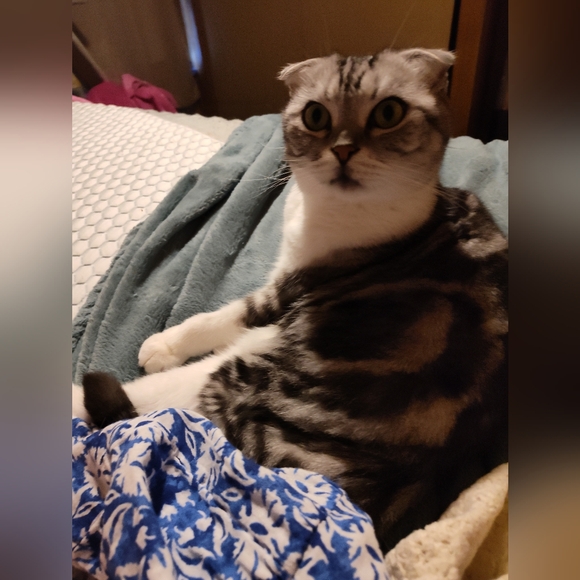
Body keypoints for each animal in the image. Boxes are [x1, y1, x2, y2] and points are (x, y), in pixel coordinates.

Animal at [73, 48, 508, 553]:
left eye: (388, 112)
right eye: (316, 116)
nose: (343, 149)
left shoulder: (288, 289)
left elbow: (223, 316)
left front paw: (161, 346)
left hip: (241, 377)